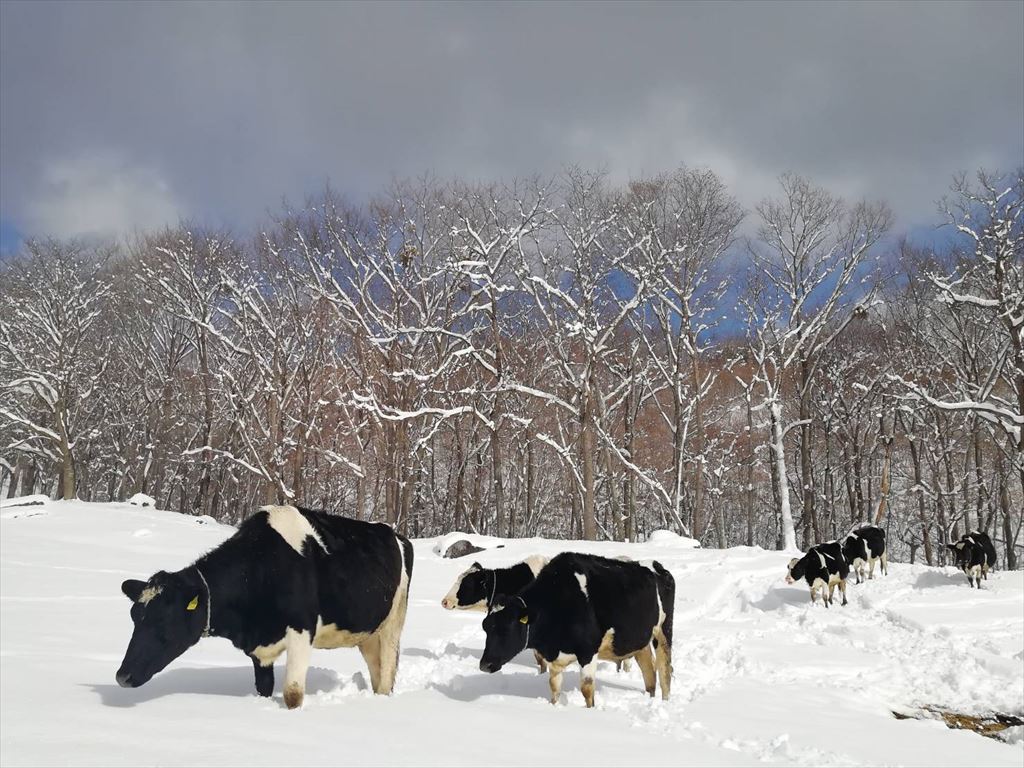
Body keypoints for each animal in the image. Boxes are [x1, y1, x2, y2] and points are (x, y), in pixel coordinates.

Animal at [117, 505, 411, 708]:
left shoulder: (302, 631)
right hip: (368, 634)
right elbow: (263, 688)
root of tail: (394, 533)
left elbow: (292, 695)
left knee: (387, 672)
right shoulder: (259, 649)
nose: (122, 677)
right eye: (134, 616)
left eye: (165, 619)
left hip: (393, 624)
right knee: (376, 669)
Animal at [477, 552, 671, 708]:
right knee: (649, 671)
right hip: (640, 640)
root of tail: (657, 566)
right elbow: (554, 687)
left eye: (507, 627)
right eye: (485, 626)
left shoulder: (588, 651)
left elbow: (586, 689)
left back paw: (665, 702)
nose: (484, 665)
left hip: (663, 632)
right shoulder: (555, 659)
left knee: (664, 670)